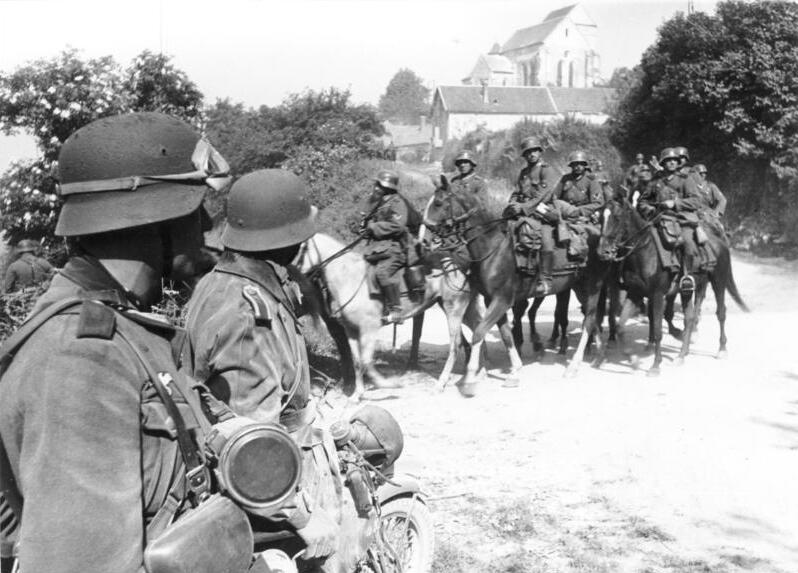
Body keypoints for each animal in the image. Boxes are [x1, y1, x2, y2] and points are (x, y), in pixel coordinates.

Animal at [298, 231, 488, 398]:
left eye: (300, 249)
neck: (350, 278)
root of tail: (461, 263)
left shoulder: (368, 329)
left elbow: (366, 361)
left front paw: (388, 384)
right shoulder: (351, 330)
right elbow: (358, 361)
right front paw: (356, 395)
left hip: (453, 309)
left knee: (455, 345)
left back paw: (441, 384)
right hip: (463, 309)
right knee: (479, 330)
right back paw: (479, 373)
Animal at [428, 185, 608, 396]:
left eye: (438, 203)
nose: (426, 236)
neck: (494, 248)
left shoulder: (502, 300)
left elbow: (479, 333)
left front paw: (470, 379)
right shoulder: (492, 300)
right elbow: (507, 335)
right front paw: (515, 371)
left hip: (593, 286)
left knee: (588, 320)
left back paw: (574, 366)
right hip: (579, 289)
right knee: (592, 318)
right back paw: (599, 356)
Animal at [600, 197, 752, 376]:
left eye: (616, 218)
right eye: (600, 217)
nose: (602, 251)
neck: (645, 252)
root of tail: (721, 242)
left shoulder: (657, 294)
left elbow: (658, 330)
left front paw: (655, 365)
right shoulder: (635, 293)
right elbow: (620, 327)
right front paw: (633, 360)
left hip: (718, 282)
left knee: (721, 313)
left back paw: (721, 349)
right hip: (689, 289)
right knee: (690, 318)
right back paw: (682, 354)